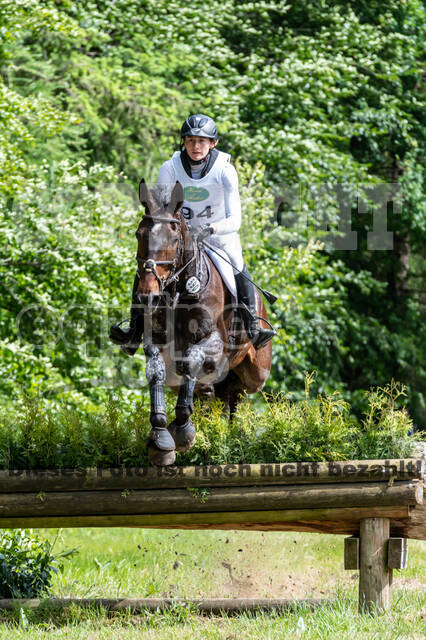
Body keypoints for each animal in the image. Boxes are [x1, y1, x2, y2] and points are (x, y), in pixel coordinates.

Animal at [135, 179, 273, 465]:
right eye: (138, 235)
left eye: (174, 239)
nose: (147, 296)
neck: (179, 289)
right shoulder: (158, 342)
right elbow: (157, 371)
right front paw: (161, 436)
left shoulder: (215, 343)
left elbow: (191, 359)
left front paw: (183, 432)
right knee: (216, 392)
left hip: (256, 371)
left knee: (237, 393)